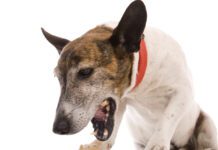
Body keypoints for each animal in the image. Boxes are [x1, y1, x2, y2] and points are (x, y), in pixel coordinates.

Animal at [41, 0, 217, 150]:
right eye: (57, 77)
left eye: (85, 72)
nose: (58, 129)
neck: (140, 84)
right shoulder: (121, 102)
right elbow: (113, 125)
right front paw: (99, 145)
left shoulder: (183, 92)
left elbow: (169, 116)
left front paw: (157, 143)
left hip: (207, 125)